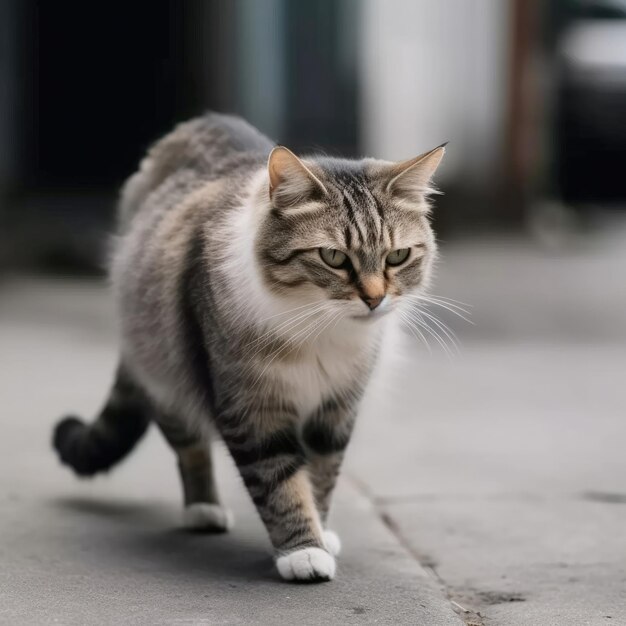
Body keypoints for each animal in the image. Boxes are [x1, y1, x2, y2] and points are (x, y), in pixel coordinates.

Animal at [53, 112, 444, 580]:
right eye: (333, 257)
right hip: (164, 371)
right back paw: (203, 510)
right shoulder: (251, 408)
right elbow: (280, 483)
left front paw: (321, 531)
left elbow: (321, 476)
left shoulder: (336, 408)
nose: (374, 299)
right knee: (190, 449)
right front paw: (304, 551)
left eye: (397, 257)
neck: (321, 329)